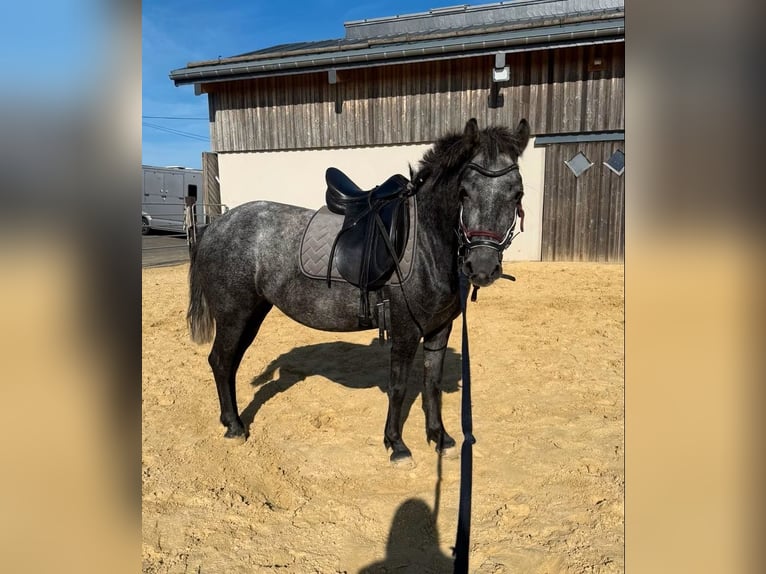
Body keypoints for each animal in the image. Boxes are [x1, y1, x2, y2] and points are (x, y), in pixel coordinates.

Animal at [187, 118, 530, 464]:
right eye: (463, 191)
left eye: (517, 193)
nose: (482, 266)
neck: (425, 241)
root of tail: (216, 225)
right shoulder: (406, 330)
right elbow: (398, 387)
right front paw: (396, 444)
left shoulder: (439, 329)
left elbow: (431, 383)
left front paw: (440, 437)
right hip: (234, 315)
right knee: (220, 361)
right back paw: (235, 427)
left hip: (252, 314)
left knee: (229, 363)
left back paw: (230, 420)